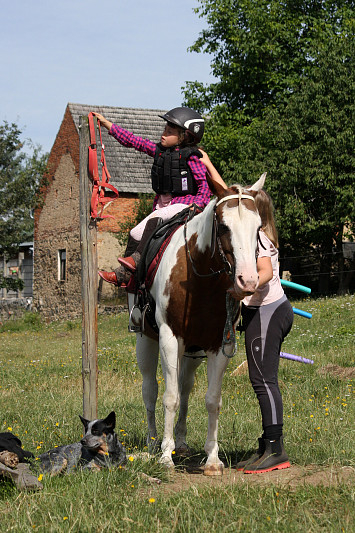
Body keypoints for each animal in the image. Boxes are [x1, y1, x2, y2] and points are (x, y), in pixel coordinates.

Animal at [129, 172, 268, 476]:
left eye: (258, 227)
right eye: (224, 226)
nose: (248, 281)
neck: (200, 277)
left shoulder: (219, 345)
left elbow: (211, 399)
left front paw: (212, 459)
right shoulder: (170, 339)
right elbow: (169, 397)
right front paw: (165, 457)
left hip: (192, 352)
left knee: (185, 387)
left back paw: (180, 443)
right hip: (146, 341)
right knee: (150, 391)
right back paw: (154, 443)